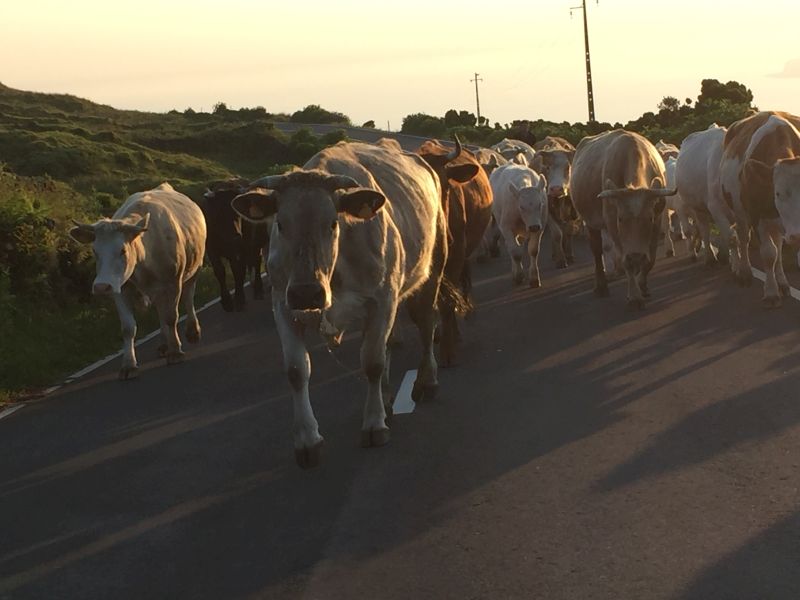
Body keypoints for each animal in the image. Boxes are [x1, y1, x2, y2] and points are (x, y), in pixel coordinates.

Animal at [70, 183, 206, 380]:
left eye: (122, 250)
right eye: (95, 251)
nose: (101, 287)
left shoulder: (172, 283)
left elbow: (171, 317)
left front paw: (175, 352)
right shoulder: (120, 287)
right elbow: (128, 328)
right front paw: (129, 364)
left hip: (195, 268)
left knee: (188, 297)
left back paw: (192, 331)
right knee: (160, 310)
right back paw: (164, 344)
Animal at [202, 178, 270, 312]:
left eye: (238, 214)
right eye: (218, 214)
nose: (236, 237)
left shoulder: (241, 250)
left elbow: (238, 272)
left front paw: (239, 299)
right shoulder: (211, 250)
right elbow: (220, 271)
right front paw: (226, 301)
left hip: (256, 244)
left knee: (257, 262)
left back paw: (258, 289)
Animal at [230, 139, 450, 468]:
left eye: (333, 223)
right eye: (280, 224)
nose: (306, 293)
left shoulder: (382, 298)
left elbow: (372, 362)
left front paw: (374, 424)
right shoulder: (283, 305)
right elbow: (296, 370)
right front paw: (307, 440)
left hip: (432, 267)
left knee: (425, 324)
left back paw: (427, 381)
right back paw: (387, 397)